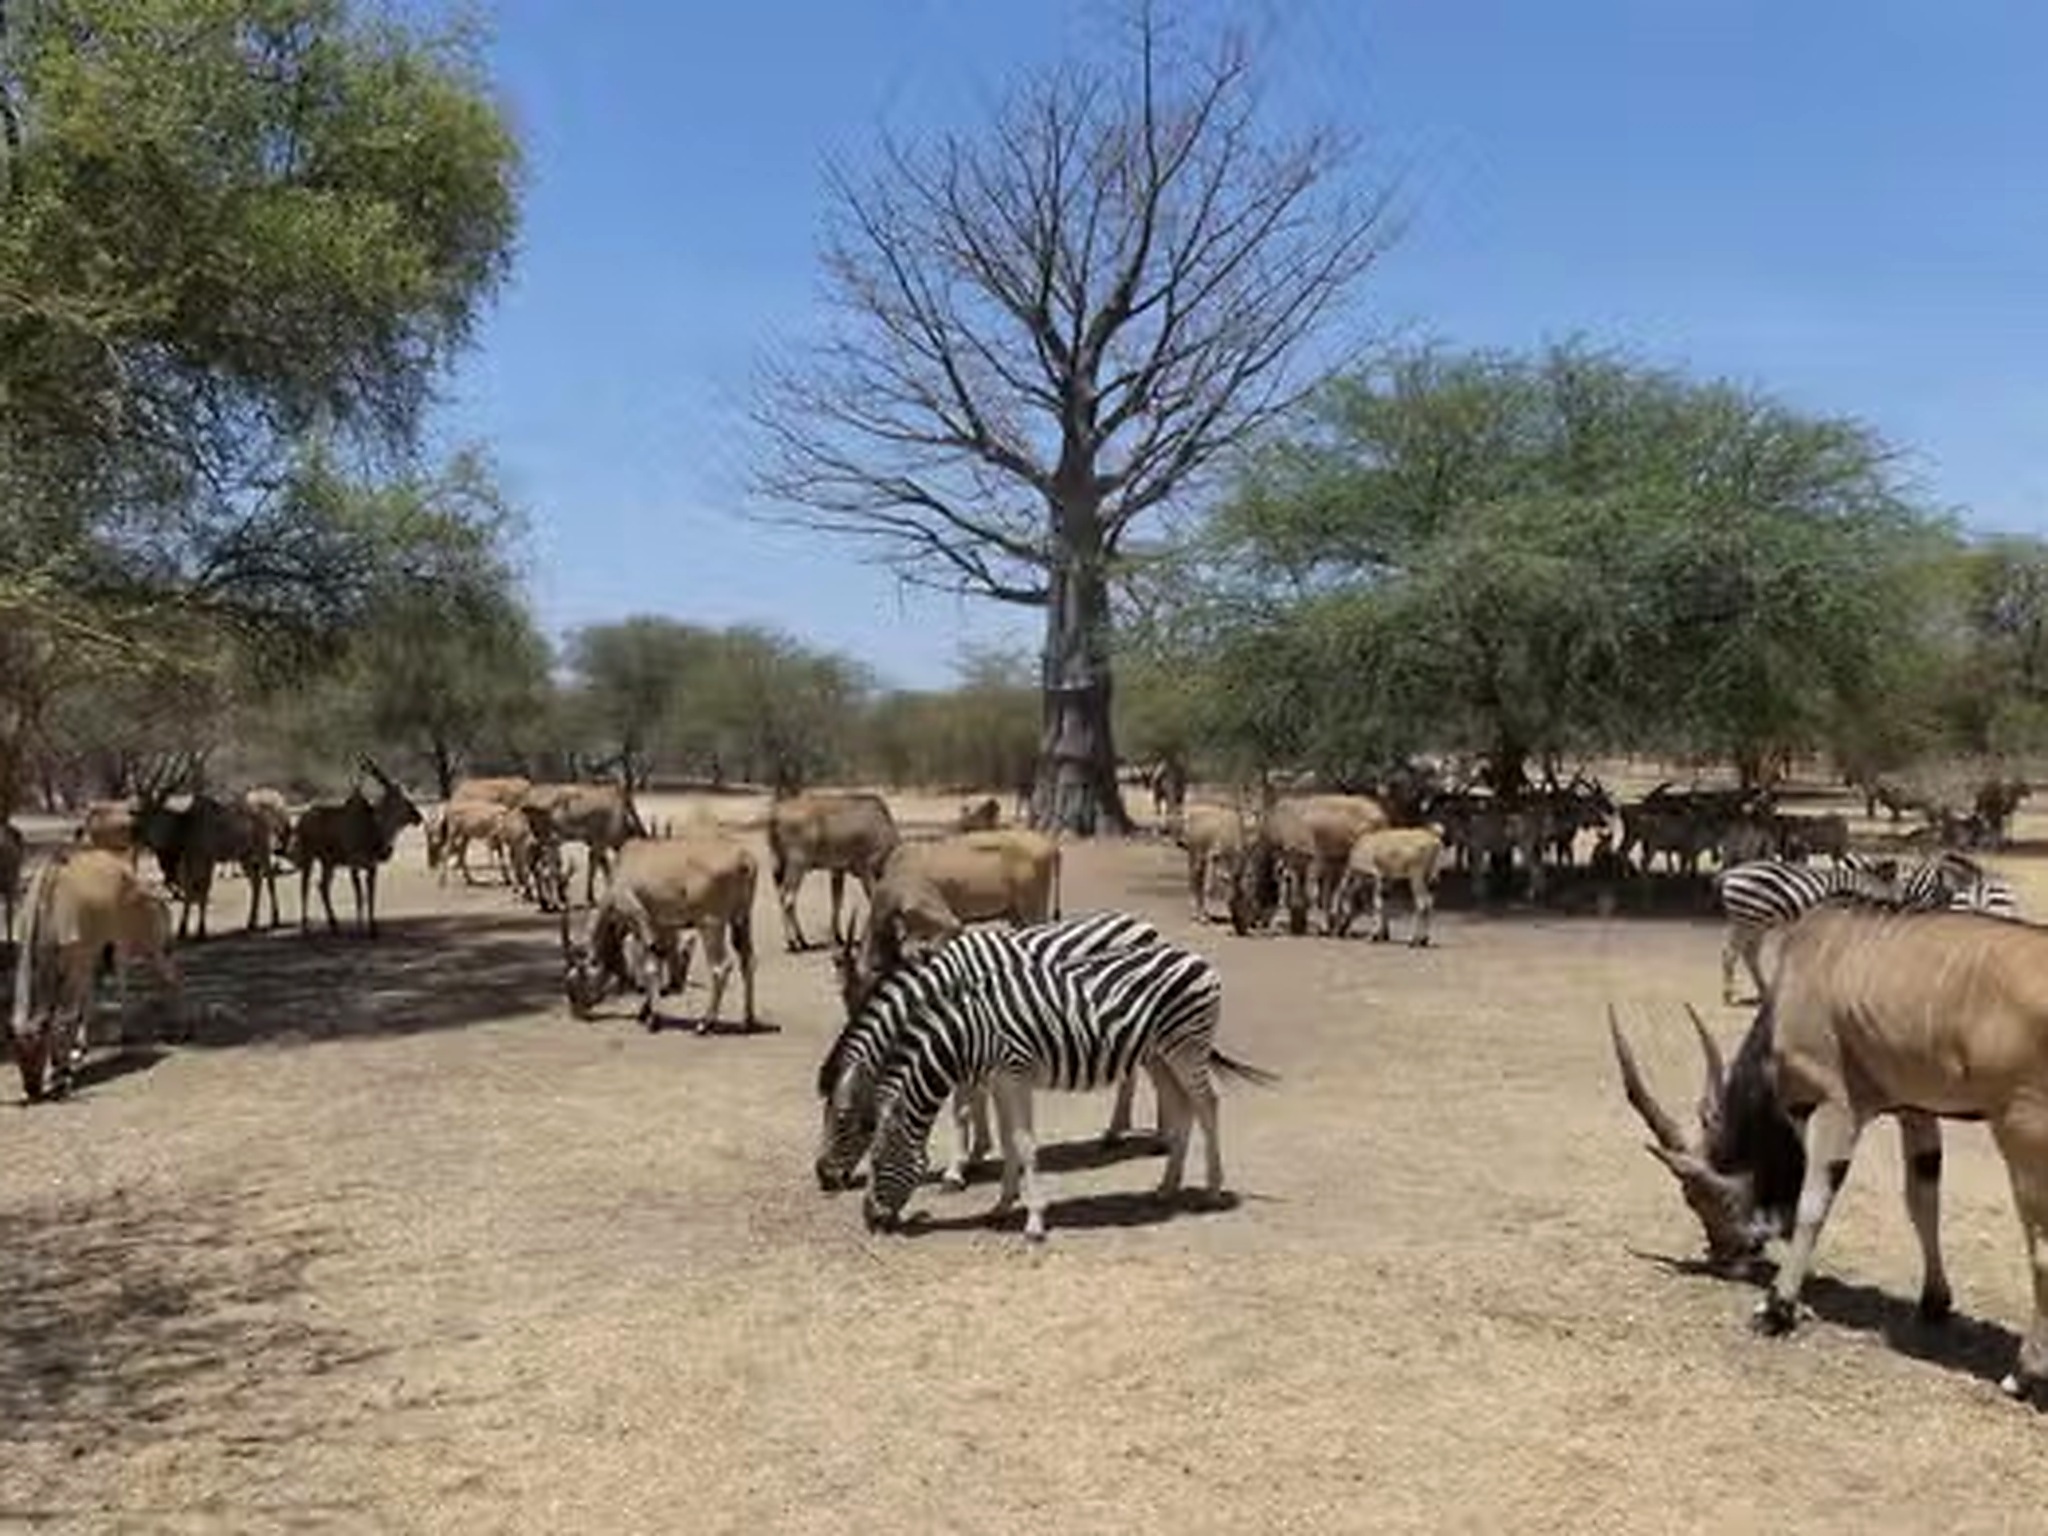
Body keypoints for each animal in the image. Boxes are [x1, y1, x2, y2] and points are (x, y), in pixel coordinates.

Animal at [815, 909, 1166, 1194]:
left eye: (844, 1118)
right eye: (824, 1113)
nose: (823, 1178)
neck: (942, 987)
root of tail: (1141, 922)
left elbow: (962, 1109)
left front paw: (956, 1170)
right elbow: (978, 1102)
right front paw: (976, 1154)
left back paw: (1159, 1140)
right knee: (1132, 1074)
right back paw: (1115, 1132)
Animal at [859, 933, 1276, 1241]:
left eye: (877, 1161)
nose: (868, 1221)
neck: (970, 1034)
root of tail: (1196, 958)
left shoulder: (1016, 1074)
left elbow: (1025, 1144)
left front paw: (1034, 1222)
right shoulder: (1000, 1080)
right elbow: (1009, 1141)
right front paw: (1001, 1206)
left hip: (1187, 1044)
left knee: (1208, 1103)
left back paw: (1211, 1190)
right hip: (1161, 1052)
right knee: (1183, 1103)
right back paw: (1166, 1188)